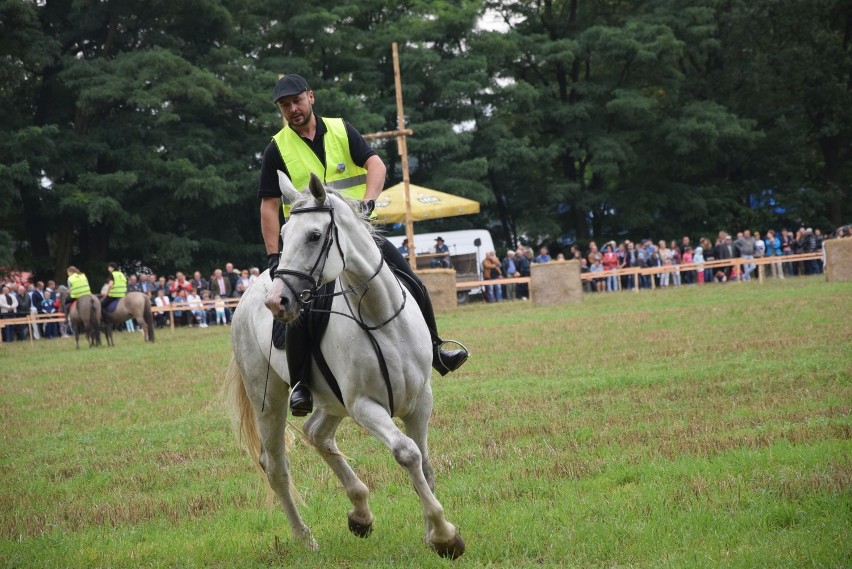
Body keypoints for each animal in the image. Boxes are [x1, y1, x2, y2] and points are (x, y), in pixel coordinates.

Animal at [226, 172, 462, 556]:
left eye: (314, 235)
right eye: (283, 234)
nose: (277, 302)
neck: (380, 318)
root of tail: (249, 294)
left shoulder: (420, 401)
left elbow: (424, 464)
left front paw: (433, 532)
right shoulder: (364, 406)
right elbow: (406, 453)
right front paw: (444, 535)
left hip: (331, 402)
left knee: (316, 433)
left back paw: (360, 513)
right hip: (269, 399)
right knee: (276, 466)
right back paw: (305, 538)